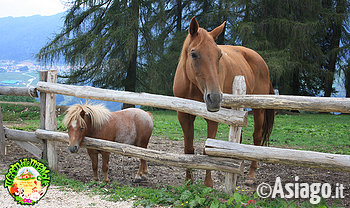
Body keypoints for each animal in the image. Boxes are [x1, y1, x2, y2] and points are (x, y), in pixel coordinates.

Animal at [174, 17, 274, 187]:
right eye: (193, 54)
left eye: (219, 55)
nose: (214, 98)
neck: (193, 86)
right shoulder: (184, 116)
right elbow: (188, 149)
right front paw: (189, 181)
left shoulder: (212, 118)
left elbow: (207, 151)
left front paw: (208, 184)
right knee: (239, 140)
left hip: (258, 109)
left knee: (256, 136)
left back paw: (251, 175)